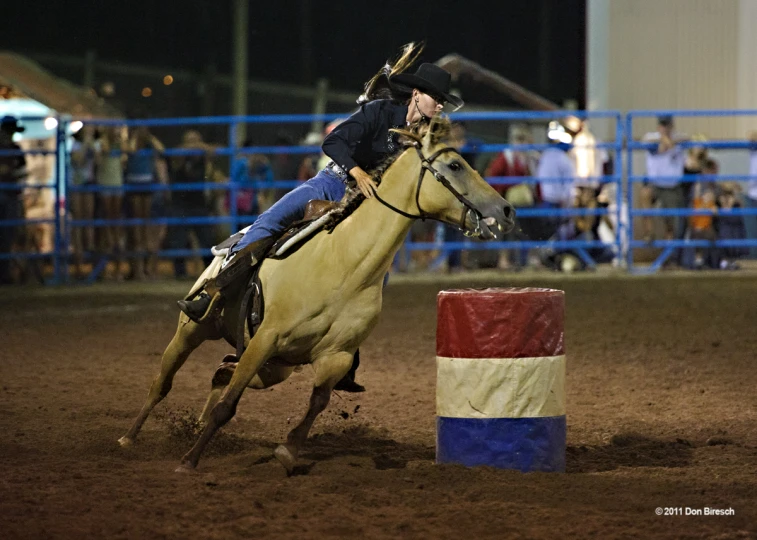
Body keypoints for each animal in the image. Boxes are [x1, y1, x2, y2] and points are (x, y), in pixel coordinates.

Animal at [118, 117, 516, 472]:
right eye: (455, 165)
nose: (507, 210)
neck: (345, 264)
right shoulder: (266, 338)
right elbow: (228, 405)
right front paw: (189, 461)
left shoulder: (334, 357)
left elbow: (317, 403)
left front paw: (288, 451)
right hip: (194, 330)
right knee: (163, 382)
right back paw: (129, 437)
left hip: (277, 367)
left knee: (221, 373)